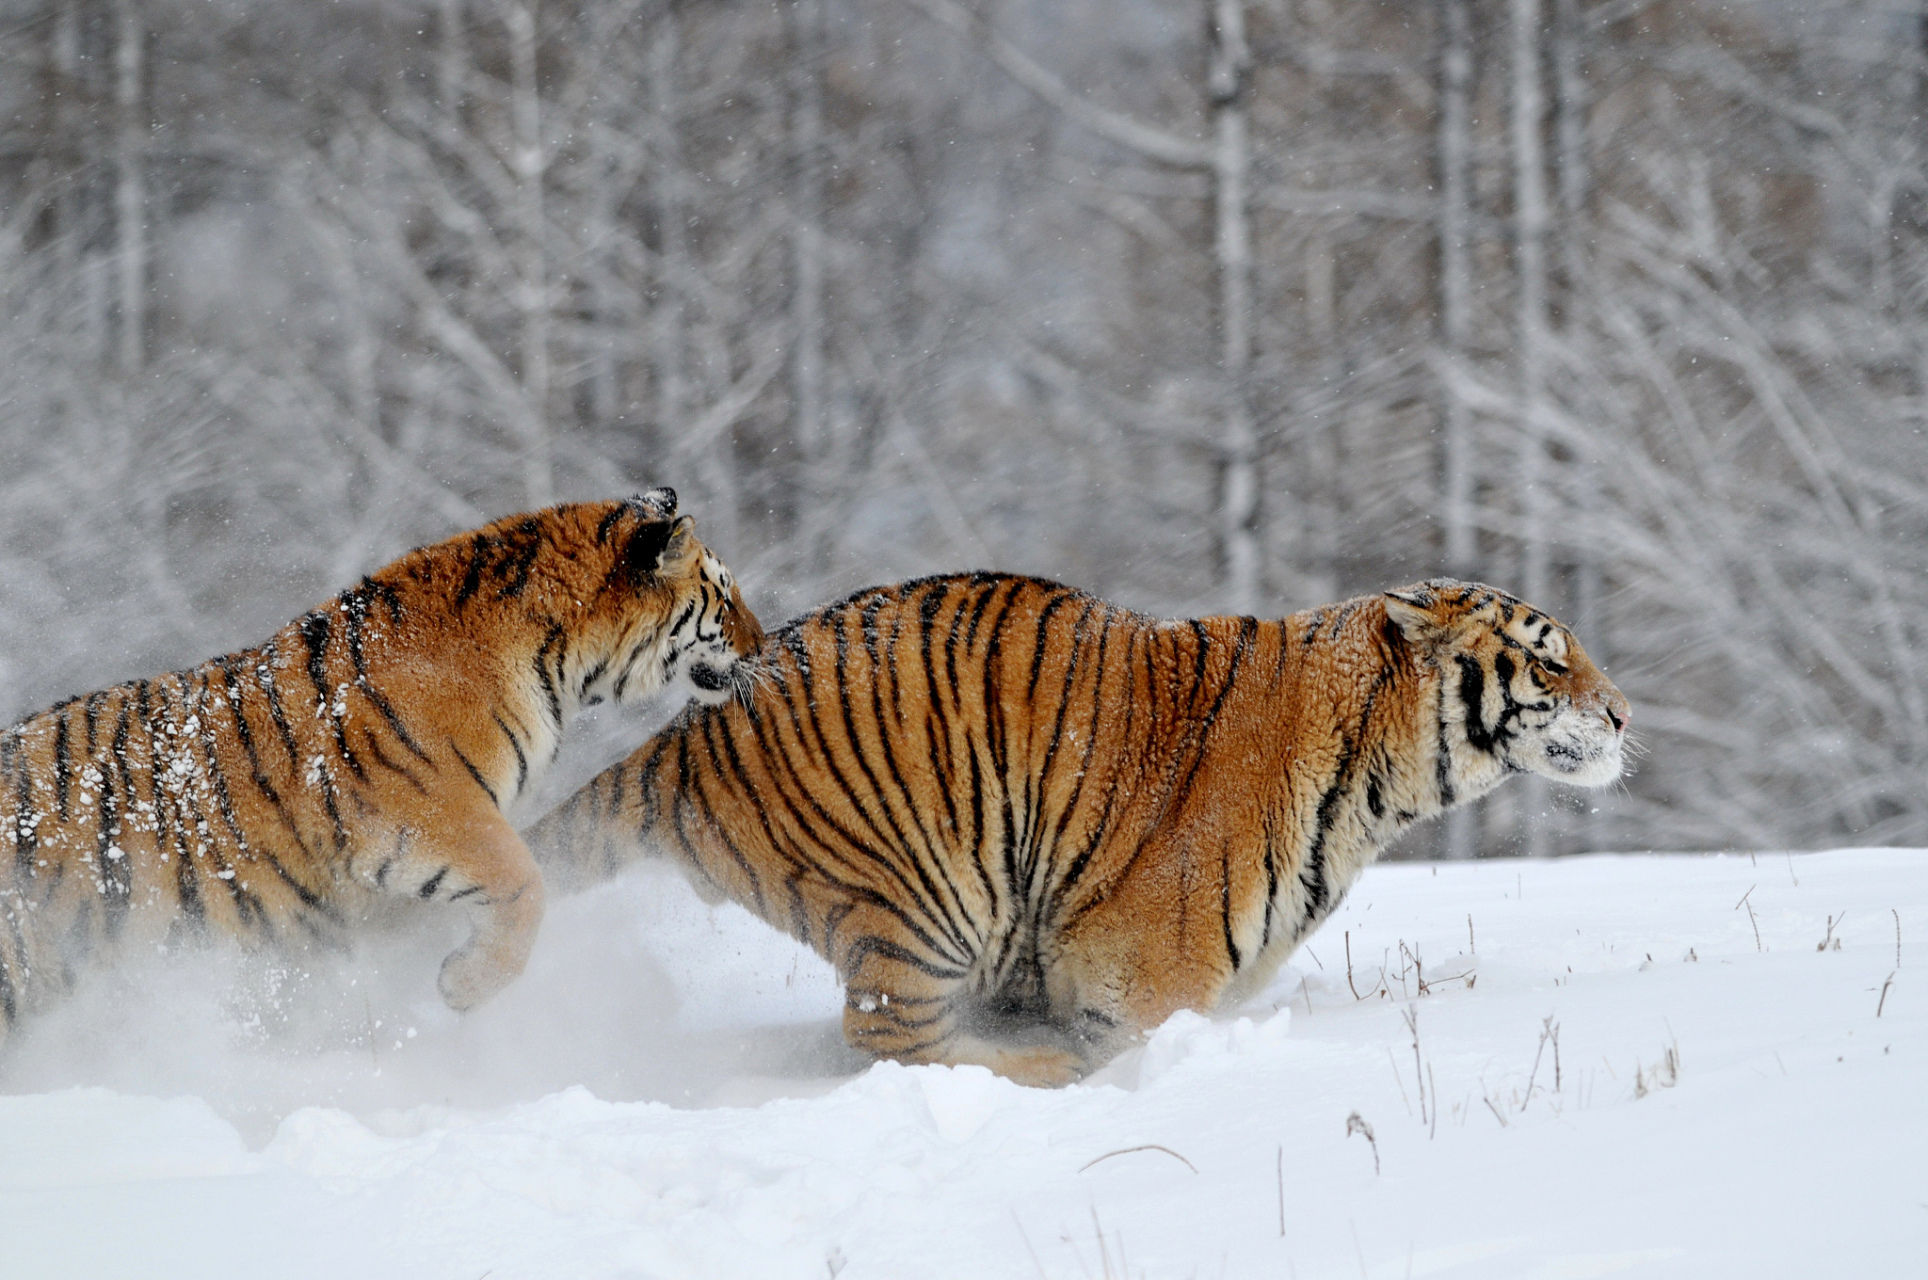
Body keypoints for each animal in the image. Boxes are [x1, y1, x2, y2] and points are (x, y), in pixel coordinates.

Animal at [0, 488, 764, 1047]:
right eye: (725, 600)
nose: (764, 646)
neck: (558, 664)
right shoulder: (433, 818)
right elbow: (527, 884)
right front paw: (464, 986)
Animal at [526, 573, 1629, 1087]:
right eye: (1549, 658)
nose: (1622, 715)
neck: (1376, 785)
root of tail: (690, 730)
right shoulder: (1140, 976)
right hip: (928, 895)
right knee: (887, 1033)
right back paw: (1040, 1071)